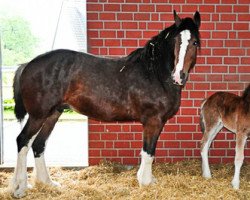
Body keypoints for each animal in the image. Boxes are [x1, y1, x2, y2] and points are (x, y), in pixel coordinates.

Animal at [11, 10, 201, 198]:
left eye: (195, 42)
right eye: (176, 41)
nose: (179, 76)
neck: (154, 73)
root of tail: (27, 65)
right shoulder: (153, 121)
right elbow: (148, 153)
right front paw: (146, 182)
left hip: (53, 114)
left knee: (38, 144)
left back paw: (47, 183)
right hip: (38, 115)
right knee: (23, 141)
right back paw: (19, 188)